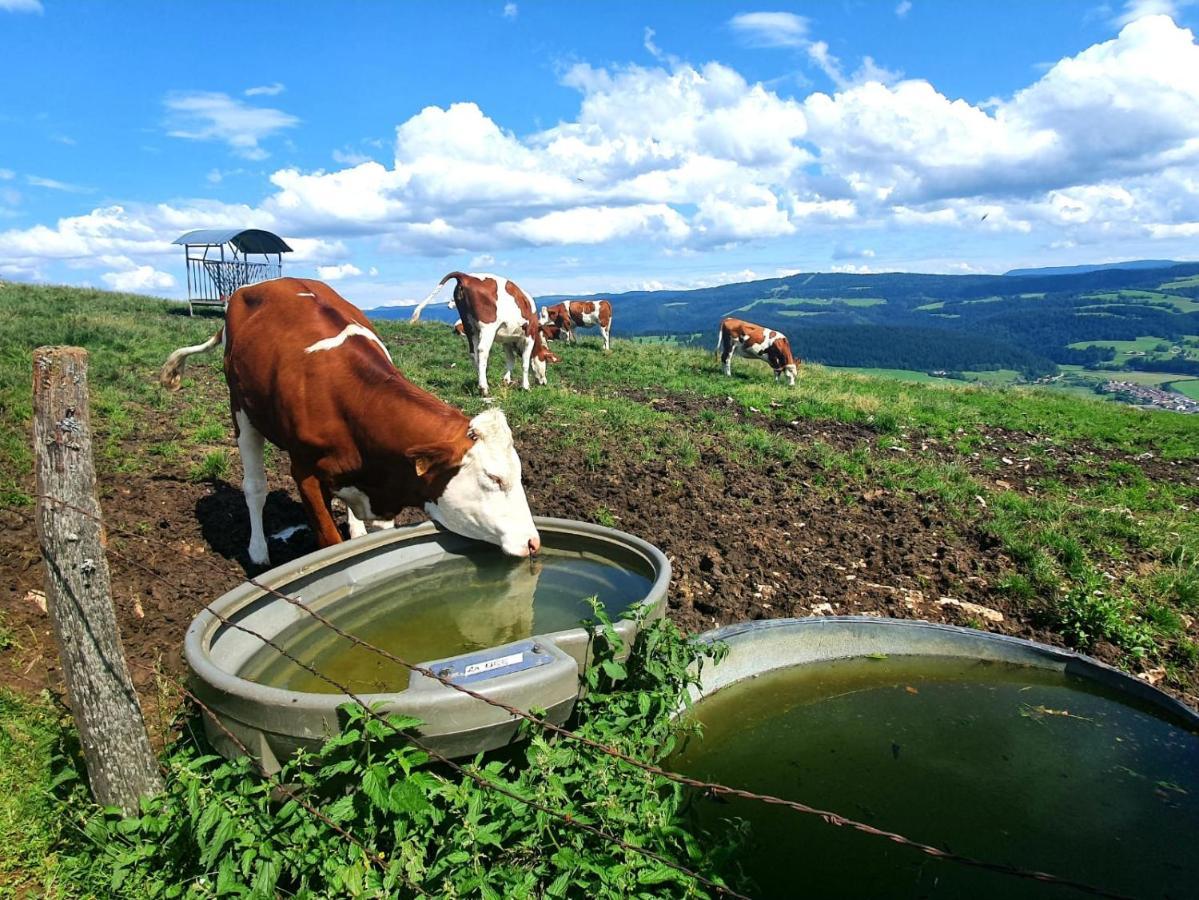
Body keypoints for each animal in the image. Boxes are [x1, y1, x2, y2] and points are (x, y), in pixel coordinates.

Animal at [159, 278, 539, 565]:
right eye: (494, 478)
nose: (534, 542)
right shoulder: (305, 473)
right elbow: (329, 541)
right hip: (241, 410)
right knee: (254, 487)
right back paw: (258, 552)